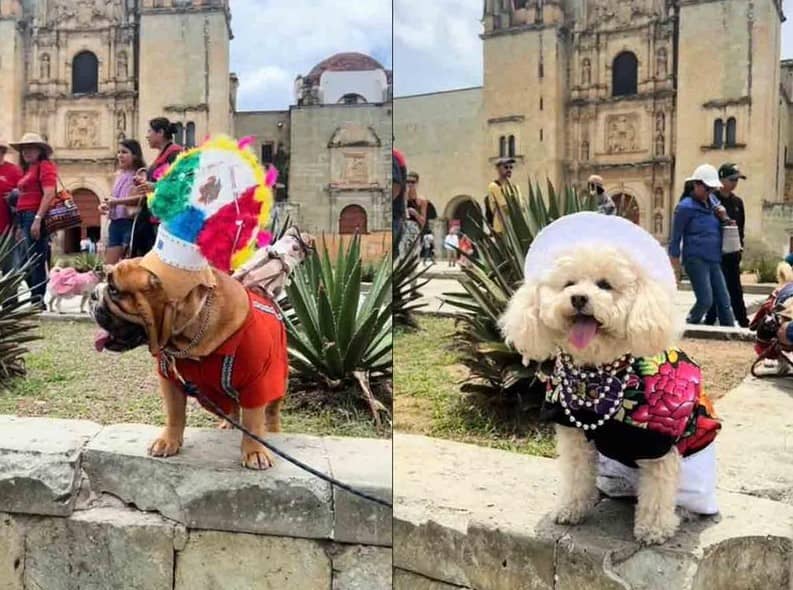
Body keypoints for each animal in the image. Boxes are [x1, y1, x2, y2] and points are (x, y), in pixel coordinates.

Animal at [504, 213, 720, 544]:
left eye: (605, 285)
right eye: (568, 284)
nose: (579, 298)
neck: (599, 371)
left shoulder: (658, 442)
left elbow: (657, 491)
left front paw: (653, 529)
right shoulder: (573, 434)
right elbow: (576, 476)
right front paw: (571, 509)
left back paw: (680, 513)